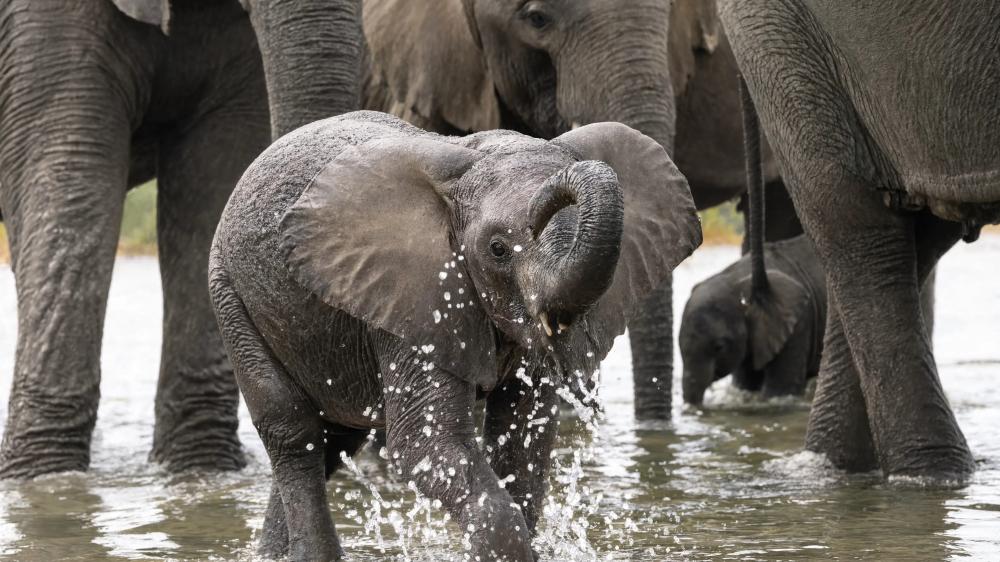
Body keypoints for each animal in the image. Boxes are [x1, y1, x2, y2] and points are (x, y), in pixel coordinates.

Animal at [208, 111, 701, 560]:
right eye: (498, 249)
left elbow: (523, 436)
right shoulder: (415, 292)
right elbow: (425, 443)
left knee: (334, 439)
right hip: (229, 292)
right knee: (293, 432)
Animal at [680, 234, 826, 405]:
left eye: (719, 347)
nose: (693, 407)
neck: (738, 280)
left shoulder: (799, 323)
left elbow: (779, 391)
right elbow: (747, 383)